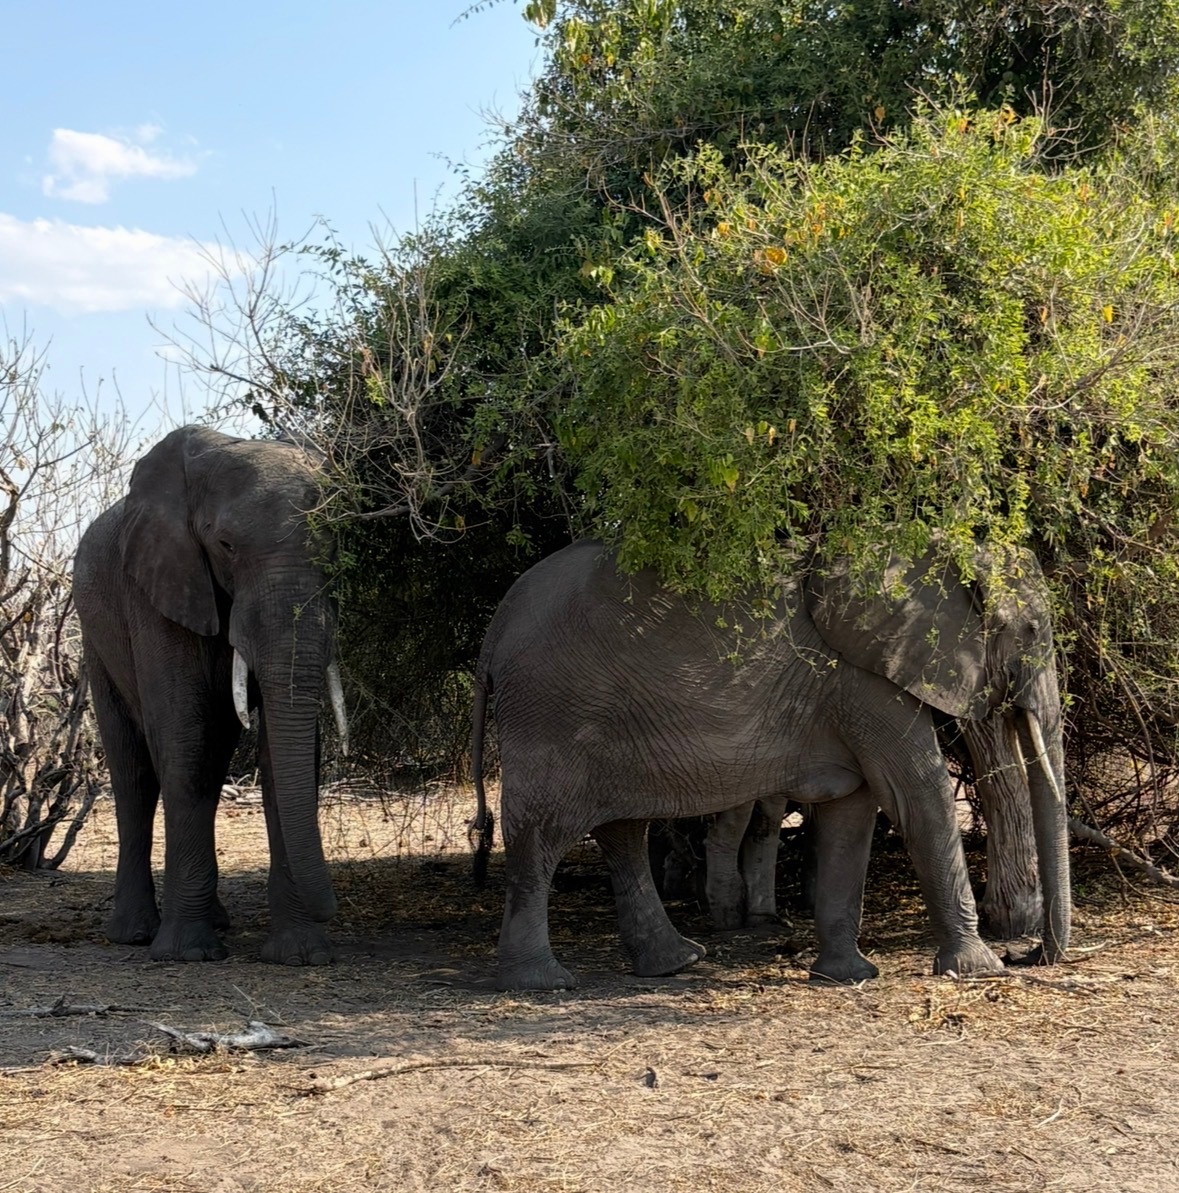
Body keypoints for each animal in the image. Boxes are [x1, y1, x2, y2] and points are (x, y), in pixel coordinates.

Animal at [73, 426, 347, 964]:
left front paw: (301, 955)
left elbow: (282, 755)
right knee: (133, 773)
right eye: (225, 545)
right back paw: (135, 934)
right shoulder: (157, 584)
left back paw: (215, 921)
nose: (331, 909)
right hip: (95, 637)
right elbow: (186, 743)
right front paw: (186, 954)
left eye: (334, 546)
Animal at [469, 539, 1070, 991]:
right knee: (541, 834)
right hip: (550, 711)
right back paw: (543, 982)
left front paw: (847, 977)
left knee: (623, 831)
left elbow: (853, 814)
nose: (1030, 954)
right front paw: (978, 970)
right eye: (1033, 631)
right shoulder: (867, 681)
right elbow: (915, 796)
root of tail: (494, 632)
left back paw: (676, 962)